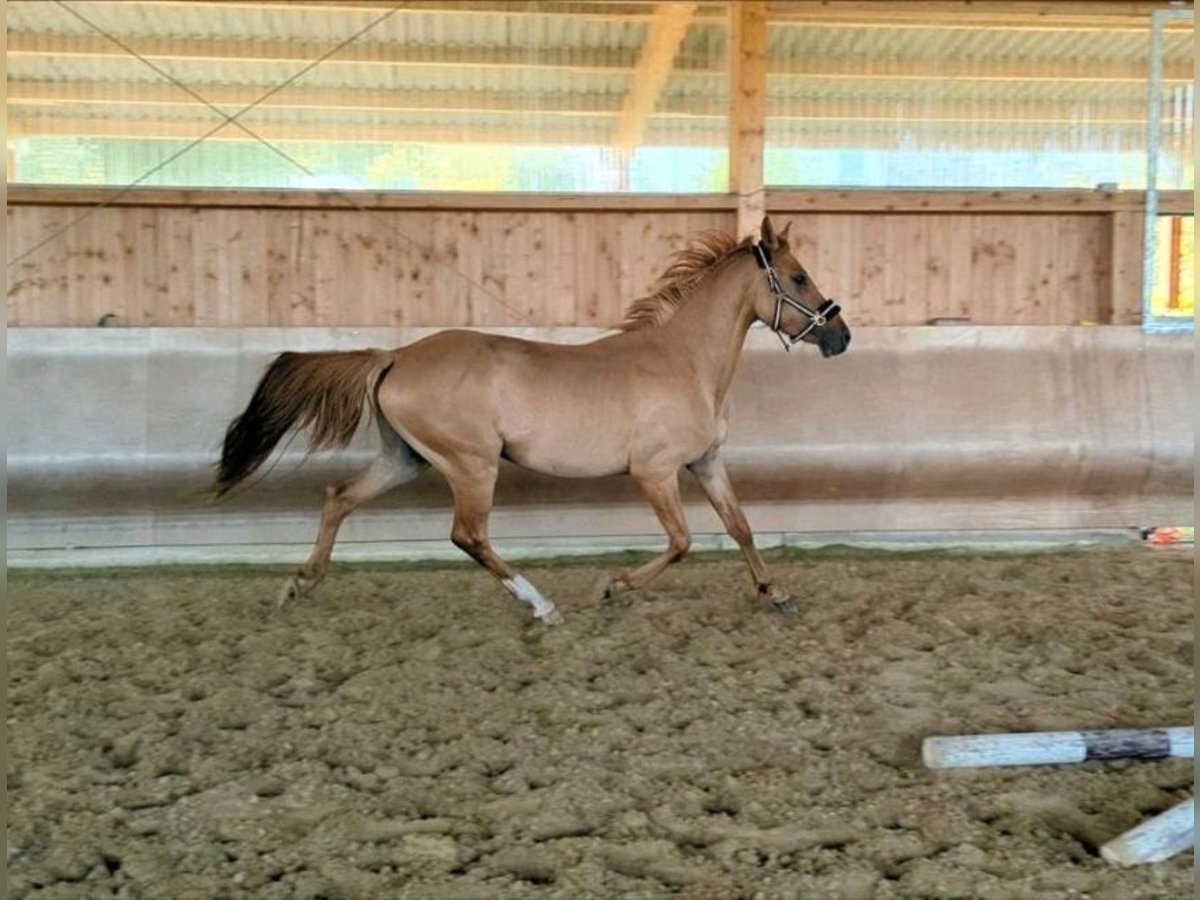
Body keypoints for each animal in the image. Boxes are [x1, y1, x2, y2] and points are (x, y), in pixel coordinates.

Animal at [218, 217, 854, 628]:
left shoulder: (706, 462)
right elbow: (681, 542)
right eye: (798, 277)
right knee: (467, 535)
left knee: (339, 498)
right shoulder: (655, 472)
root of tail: (394, 355)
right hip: (471, 465)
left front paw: (776, 594)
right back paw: (541, 606)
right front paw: (611, 588)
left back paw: (299, 585)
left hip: (407, 458)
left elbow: (741, 527)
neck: (685, 361)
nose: (840, 335)